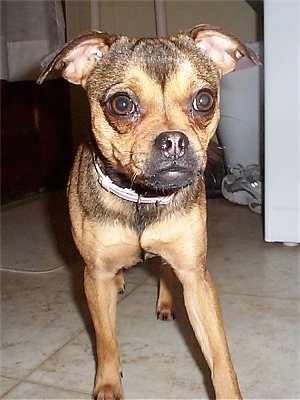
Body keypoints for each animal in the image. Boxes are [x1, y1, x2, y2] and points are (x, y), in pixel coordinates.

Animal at [37, 25, 262, 400]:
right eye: (122, 104)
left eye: (204, 99)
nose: (173, 141)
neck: (141, 199)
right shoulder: (94, 276)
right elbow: (106, 340)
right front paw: (108, 384)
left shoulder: (197, 279)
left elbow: (219, 356)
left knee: (165, 269)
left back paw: (166, 301)